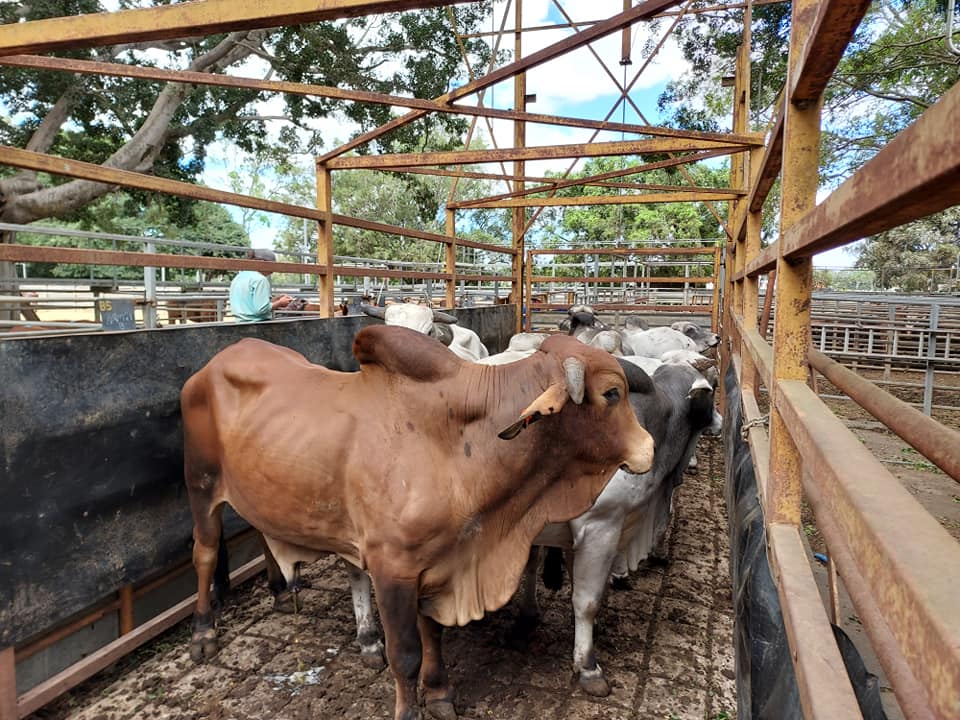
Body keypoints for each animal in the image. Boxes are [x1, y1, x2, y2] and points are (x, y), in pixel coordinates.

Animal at [180, 326, 655, 720]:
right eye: (612, 393)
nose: (649, 448)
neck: (458, 445)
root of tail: (212, 365)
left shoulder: (438, 563)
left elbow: (433, 636)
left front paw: (440, 692)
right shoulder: (393, 570)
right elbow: (405, 653)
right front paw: (410, 708)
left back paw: (281, 592)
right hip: (201, 485)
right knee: (204, 553)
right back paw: (203, 632)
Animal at [519, 359, 722, 697]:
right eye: (713, 390)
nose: (719, 422)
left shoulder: (577, 534)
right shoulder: (601, 527)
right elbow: (586, 601)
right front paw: (588, 666)